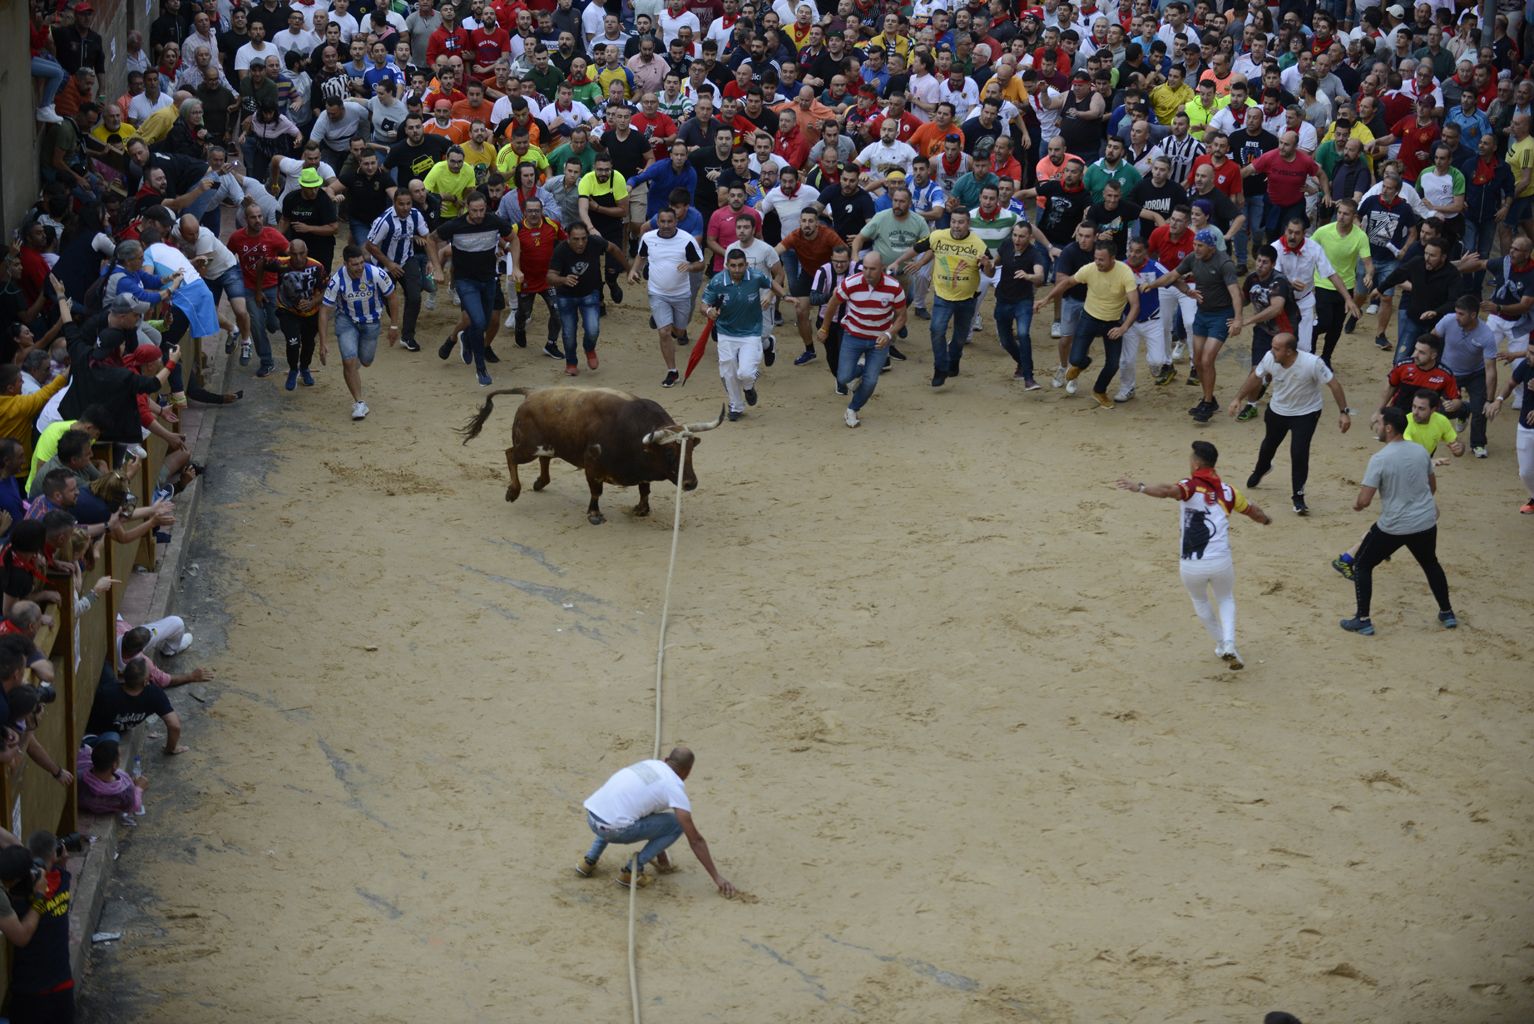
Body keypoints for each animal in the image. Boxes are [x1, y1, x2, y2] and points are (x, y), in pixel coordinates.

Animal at [454, 386, 724, 524]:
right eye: (669, 451)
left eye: (691, 449)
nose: (690, 483)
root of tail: (531, 393)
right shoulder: (592, 465)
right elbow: (597, 492)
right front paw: (594, 514)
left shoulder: (642, 472)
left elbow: (645, 488)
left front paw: (642, 509)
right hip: (528, 447)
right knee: (510, 454)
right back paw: (513, 491)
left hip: (547, 445)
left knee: (545, 459)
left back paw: (540, 482)